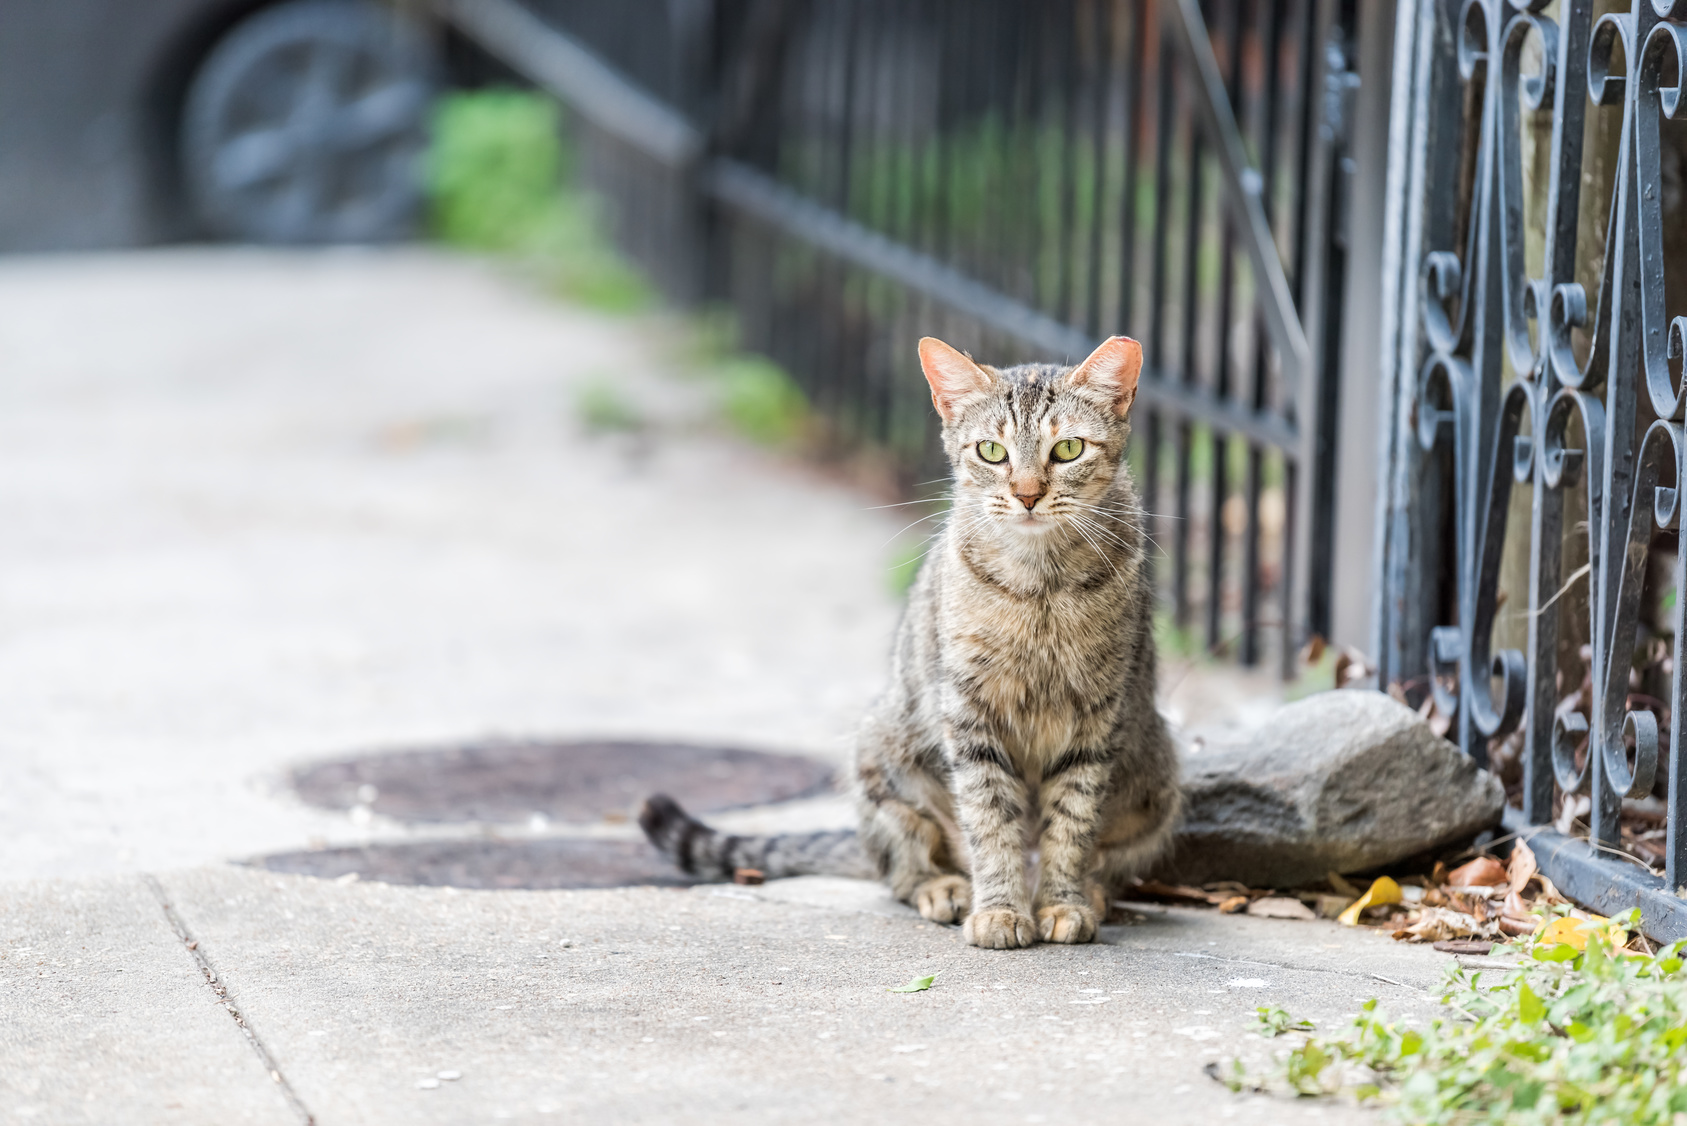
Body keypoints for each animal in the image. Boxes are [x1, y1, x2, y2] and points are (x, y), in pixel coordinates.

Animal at [637, 337, 1180, 952]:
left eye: (1067, 449)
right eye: (991, 451)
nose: (1027, 495)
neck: (1039, 584)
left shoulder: (1096, 716)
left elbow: (1071, 823)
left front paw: (1062, 902)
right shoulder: (969, 713)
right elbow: (990, 821)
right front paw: (1001, 910)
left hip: (1158, 779)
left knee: (1103, 857)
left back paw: (1088, 891)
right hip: (884, 760)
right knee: (903, 865)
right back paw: (944, 888)